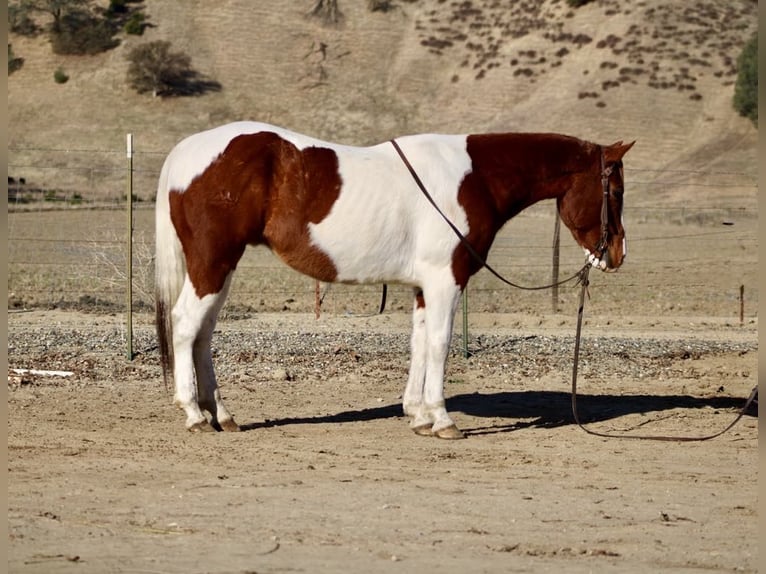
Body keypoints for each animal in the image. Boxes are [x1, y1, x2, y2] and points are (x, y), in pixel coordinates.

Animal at [156, 119, 636, 438]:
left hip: (220, 267)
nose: (616, 255)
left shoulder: (424, 287)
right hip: (212, 263)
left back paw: (221, 414)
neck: (474, 178)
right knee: (185, 324)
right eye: (615, 191)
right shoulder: (446, 280)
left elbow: (419, 342)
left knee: (203, 333)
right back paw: (195, 415)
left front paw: (419, 414)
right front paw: (442, 420)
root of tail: (186, 152)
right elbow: (440, 343)